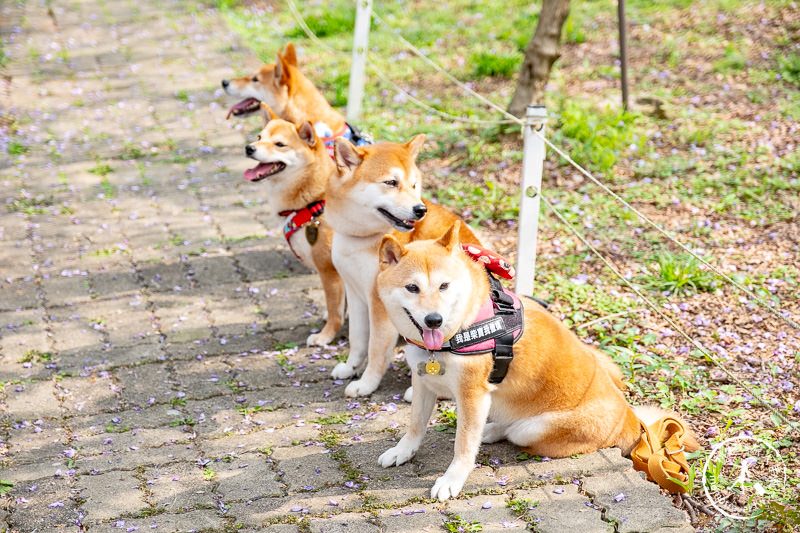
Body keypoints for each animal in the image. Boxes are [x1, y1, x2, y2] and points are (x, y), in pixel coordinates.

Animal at [244, 104, 344, 348]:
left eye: (279, 144)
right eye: (259, 137)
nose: (249, 148)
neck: (314, 201)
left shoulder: (329, 270)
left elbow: (335, 310)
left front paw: (326, 335)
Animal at [324, 135, 482, 396]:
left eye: (414, 185)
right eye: (391, 182)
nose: (420, 210)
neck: (362, 239)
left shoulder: (380, 304)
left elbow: (376, 349)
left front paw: (366, 383)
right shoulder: (355, 293)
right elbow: (357, 340)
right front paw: (350, 368)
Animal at [376, 223, 700, 498]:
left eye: (444, 286)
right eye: (412, 288)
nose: (434, 320)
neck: (459, 328)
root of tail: (630, 420)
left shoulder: (472, 394)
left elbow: (463, 445)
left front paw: (452, 479)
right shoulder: (424, 380)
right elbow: (415, 426)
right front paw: (403, 451)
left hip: (532, 427)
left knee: (514, 432)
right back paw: (491, 430)